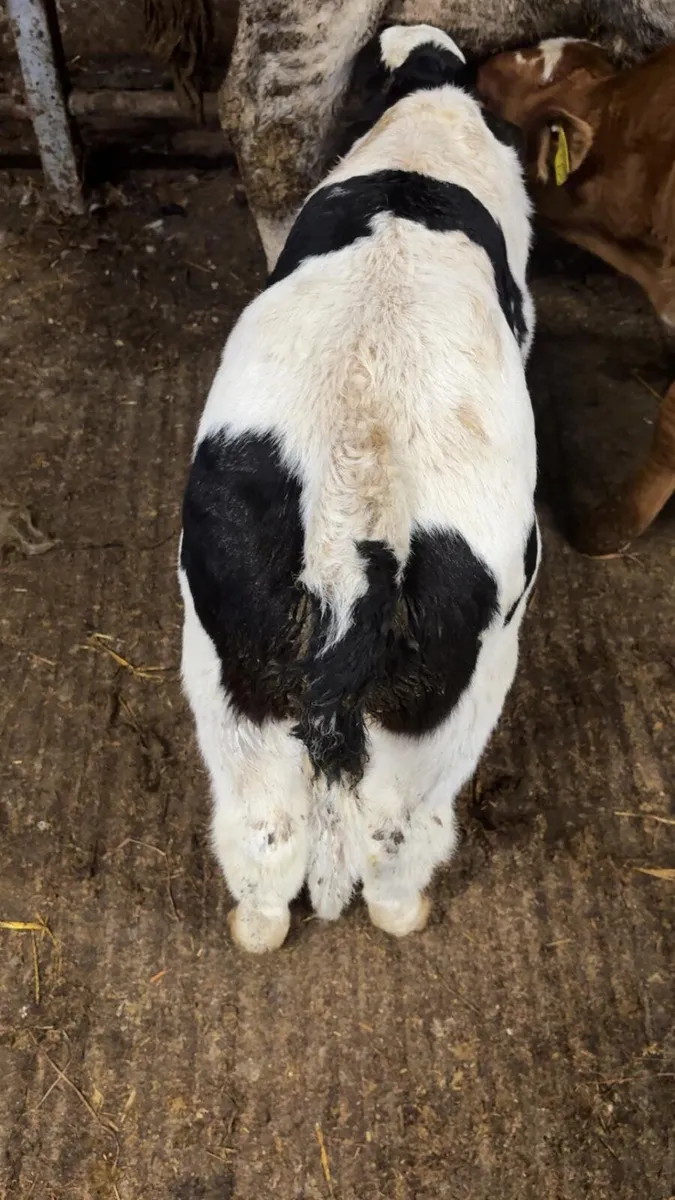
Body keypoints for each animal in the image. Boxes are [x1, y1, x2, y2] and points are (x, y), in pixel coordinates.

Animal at [178, 24, 540, 954]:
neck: (420, 143)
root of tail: (353, 538)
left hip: (232, 672)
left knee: (264, 828)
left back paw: (256, 927)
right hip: (453, 699)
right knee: (396, 831)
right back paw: (403, 913)